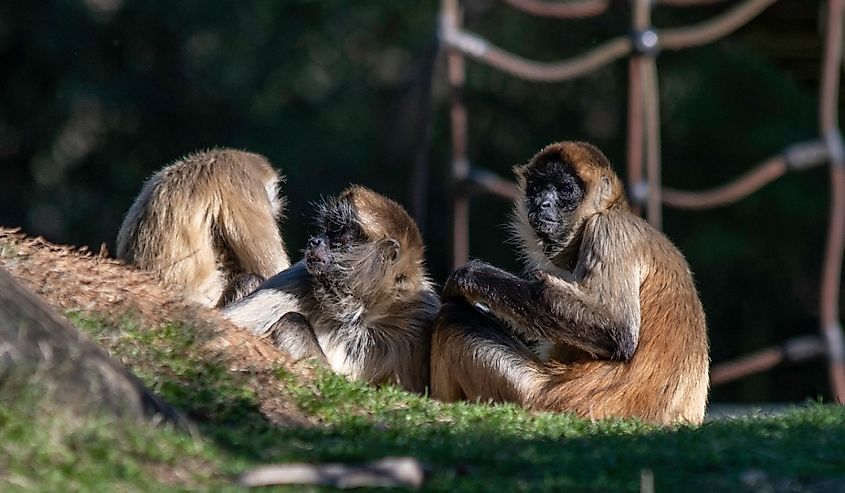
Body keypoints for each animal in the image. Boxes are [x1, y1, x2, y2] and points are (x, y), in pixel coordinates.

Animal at [223, 185, 440, 393]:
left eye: (339, 232)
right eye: (328, 228)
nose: (314, 241)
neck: (358, 312)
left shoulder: (420, 311)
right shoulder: (302, 274)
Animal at [430, 141, 710, 425]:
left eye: (565, 190)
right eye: (537, 188)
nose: (543, 204)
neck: (611, 210)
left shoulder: (609, 228)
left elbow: (616, 331)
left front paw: (468, 277)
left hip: (539, 396)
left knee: (454, 318)